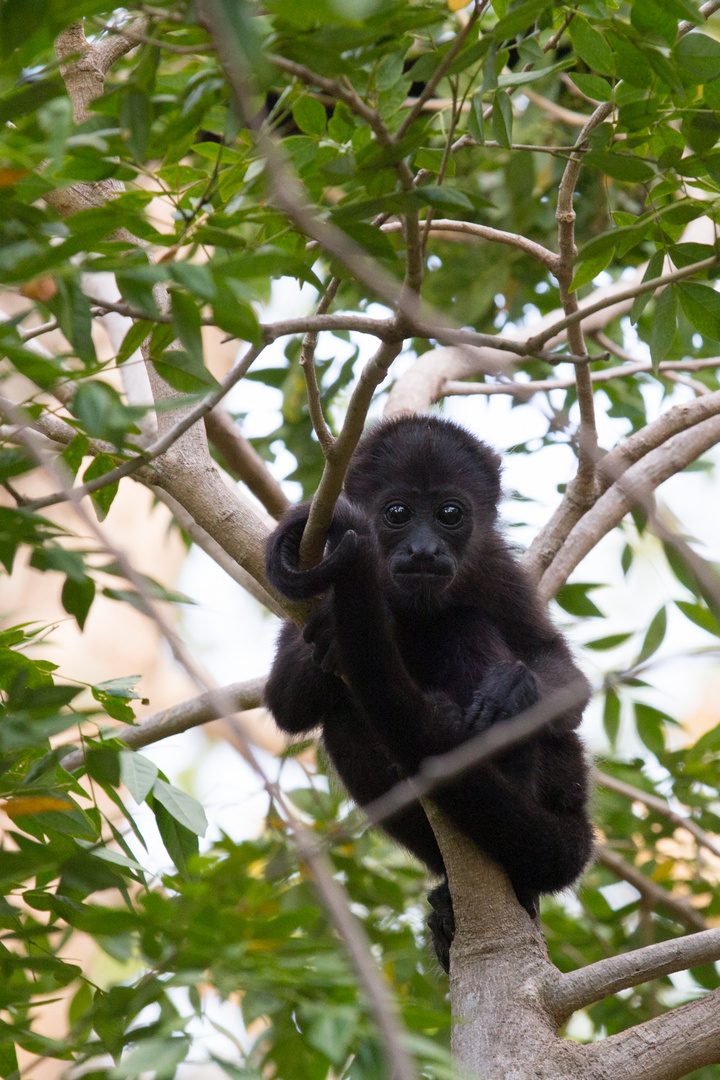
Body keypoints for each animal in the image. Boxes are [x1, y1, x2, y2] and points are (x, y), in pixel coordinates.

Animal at [262, 414, 595, 972]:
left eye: (449, 514)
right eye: (398, 513)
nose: (423, 549)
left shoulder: (498, 569)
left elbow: (564, 678)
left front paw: (514, 688)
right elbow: (286, 704)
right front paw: (336, 630)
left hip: (562, 776)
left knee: (464, 626)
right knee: (344, 716)